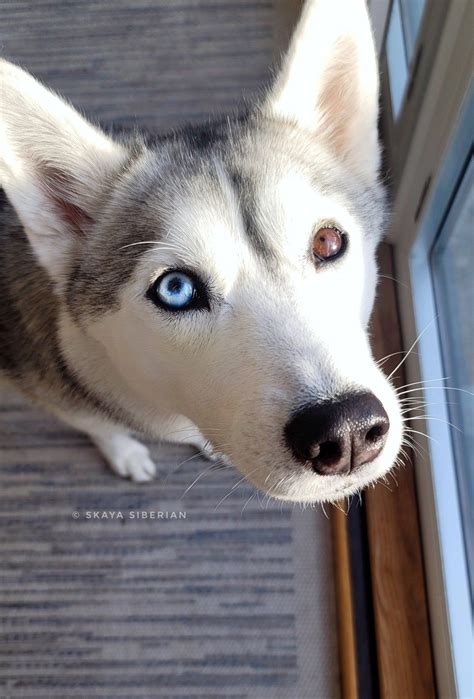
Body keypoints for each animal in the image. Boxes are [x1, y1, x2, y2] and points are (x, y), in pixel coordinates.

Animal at [0, 1, 404, 504]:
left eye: (327, 242)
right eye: (175, 289)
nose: (345, 430)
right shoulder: (59, 396)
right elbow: (102, 428)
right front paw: (124, 452)